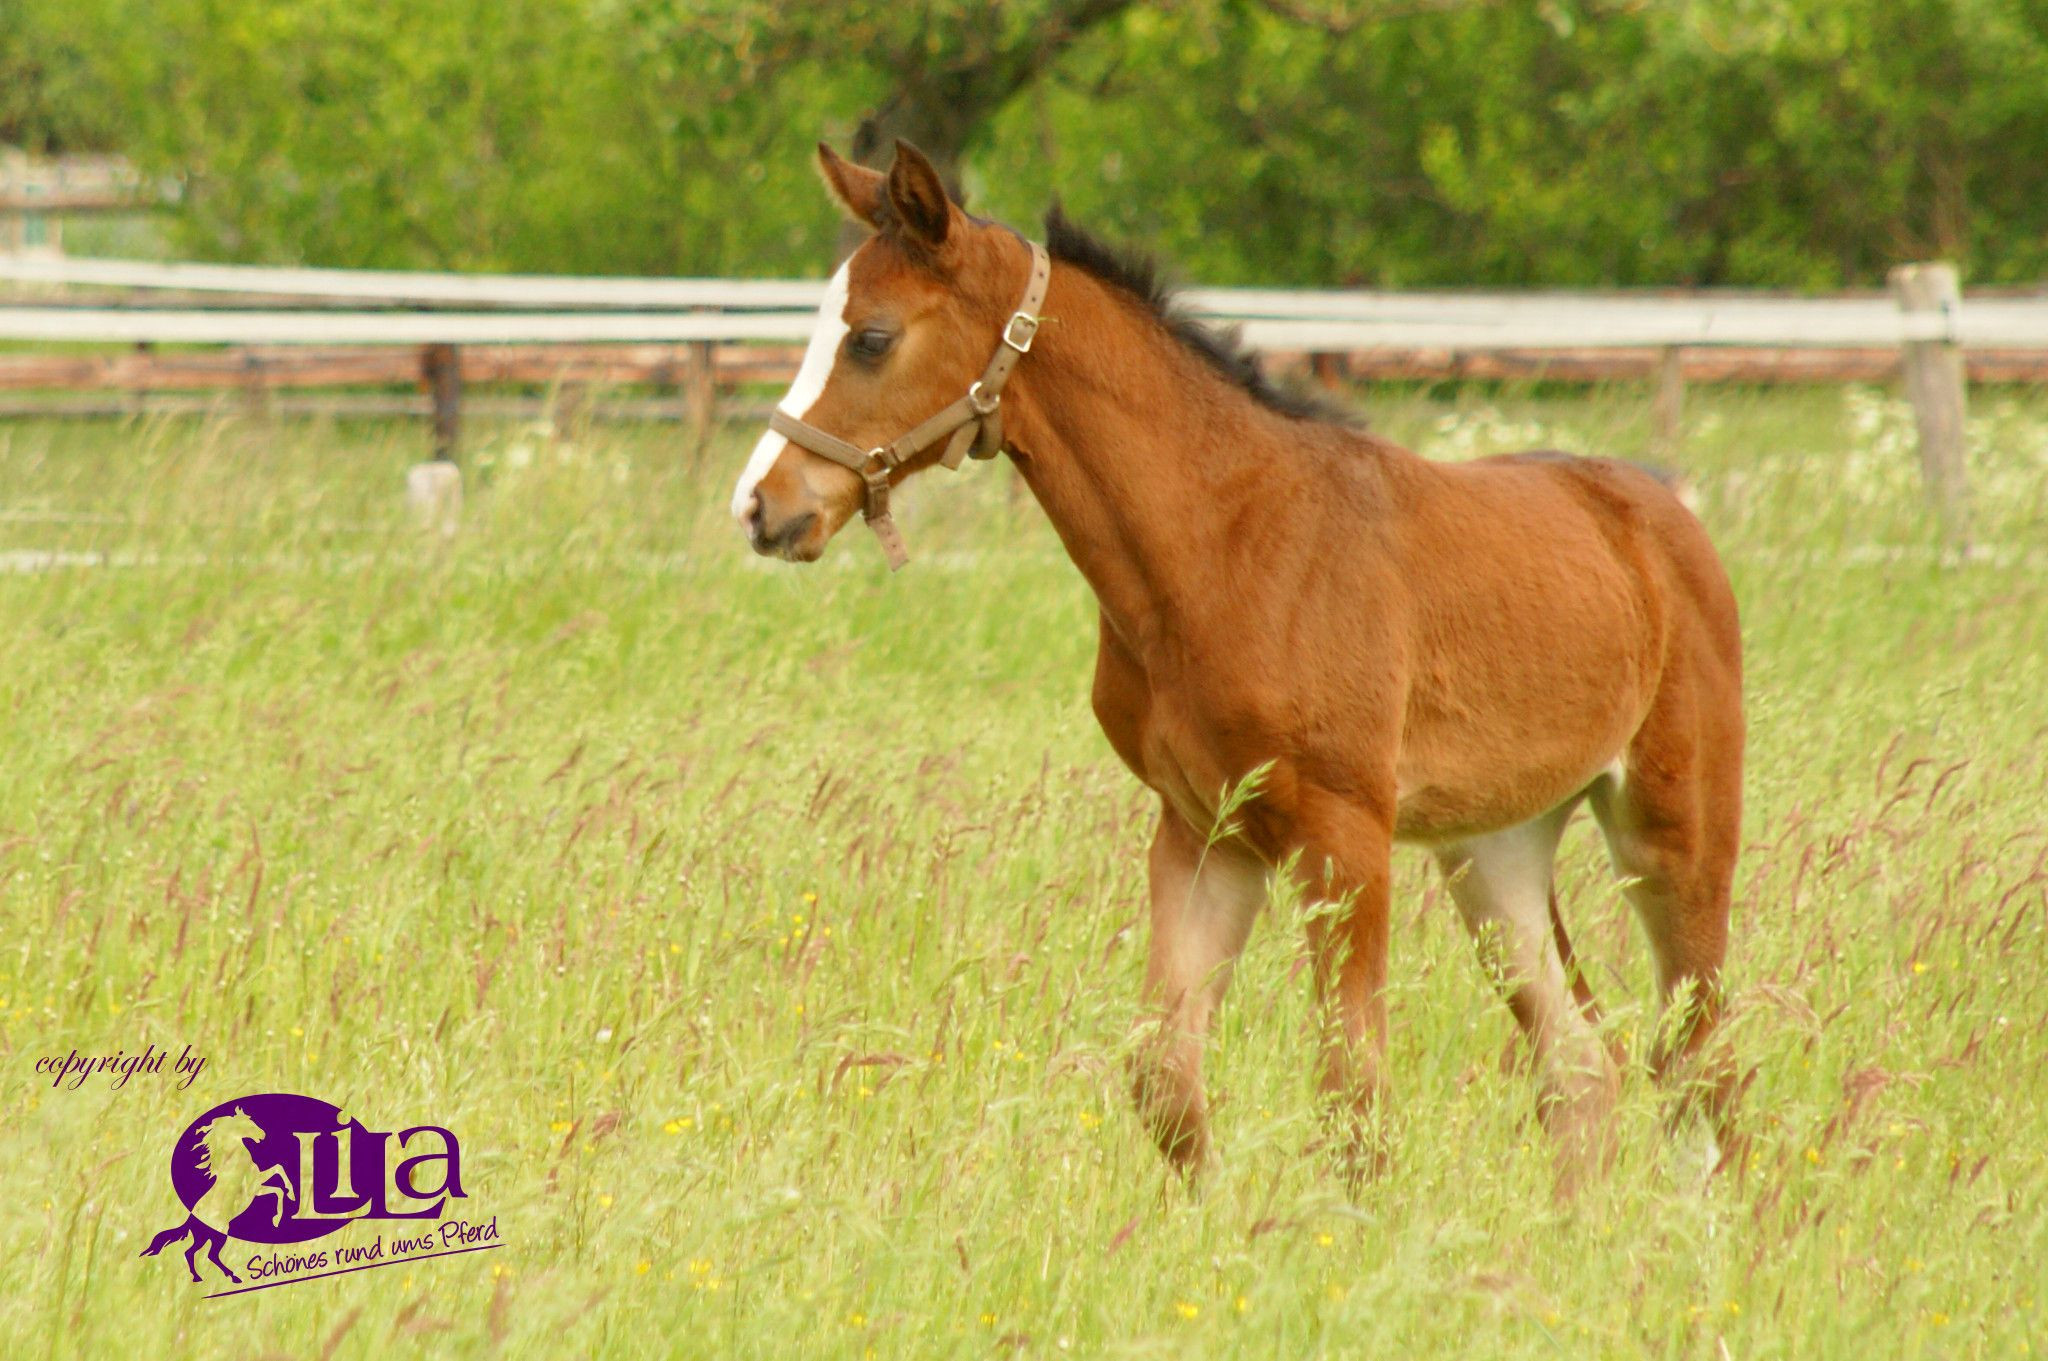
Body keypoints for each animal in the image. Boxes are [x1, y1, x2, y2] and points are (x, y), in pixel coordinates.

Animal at [737, 143, 1744, 1195]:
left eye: (872, 338)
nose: (761, 506)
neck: (1221, 545)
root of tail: (1660, 507)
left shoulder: (1343, 829)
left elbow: (1351, 1090)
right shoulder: (1204, 829)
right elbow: (1163, 1075)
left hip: (1674, 828)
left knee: (1700, 1062)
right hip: (1496, 847)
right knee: (1584, 1062)